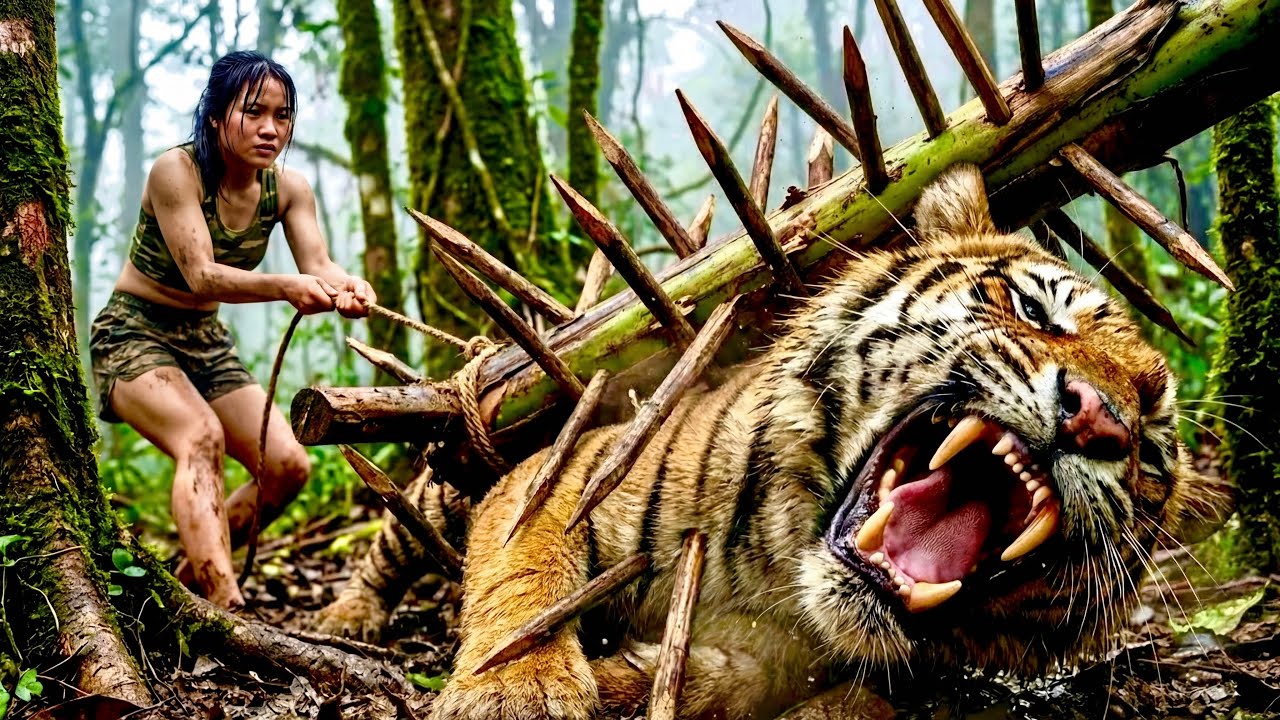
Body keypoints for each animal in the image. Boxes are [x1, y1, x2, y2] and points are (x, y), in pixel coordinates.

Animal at [317, 164, 1224, 719]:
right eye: (1034, 311)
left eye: (1150, 448)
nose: (1097, 418)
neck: (782, 571)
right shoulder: (563, 469)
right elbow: (526, 581)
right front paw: (518, 692)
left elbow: (782, 678)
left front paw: (632, 678)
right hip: (444, 479)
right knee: (390, 542)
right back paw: (347, 616)